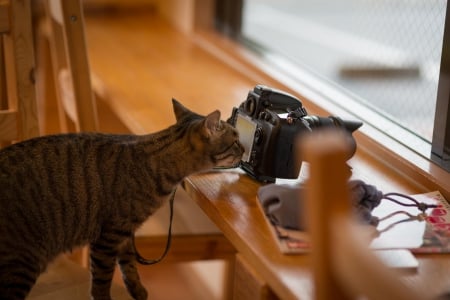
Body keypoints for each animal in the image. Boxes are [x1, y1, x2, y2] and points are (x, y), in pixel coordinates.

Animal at [0, 99, 244, 298]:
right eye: (235, 141)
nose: (244, 149)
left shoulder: (126, 234)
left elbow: (129, 267)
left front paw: (138, 291)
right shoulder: (108, 238)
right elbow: (101, 281)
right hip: (21, 264)